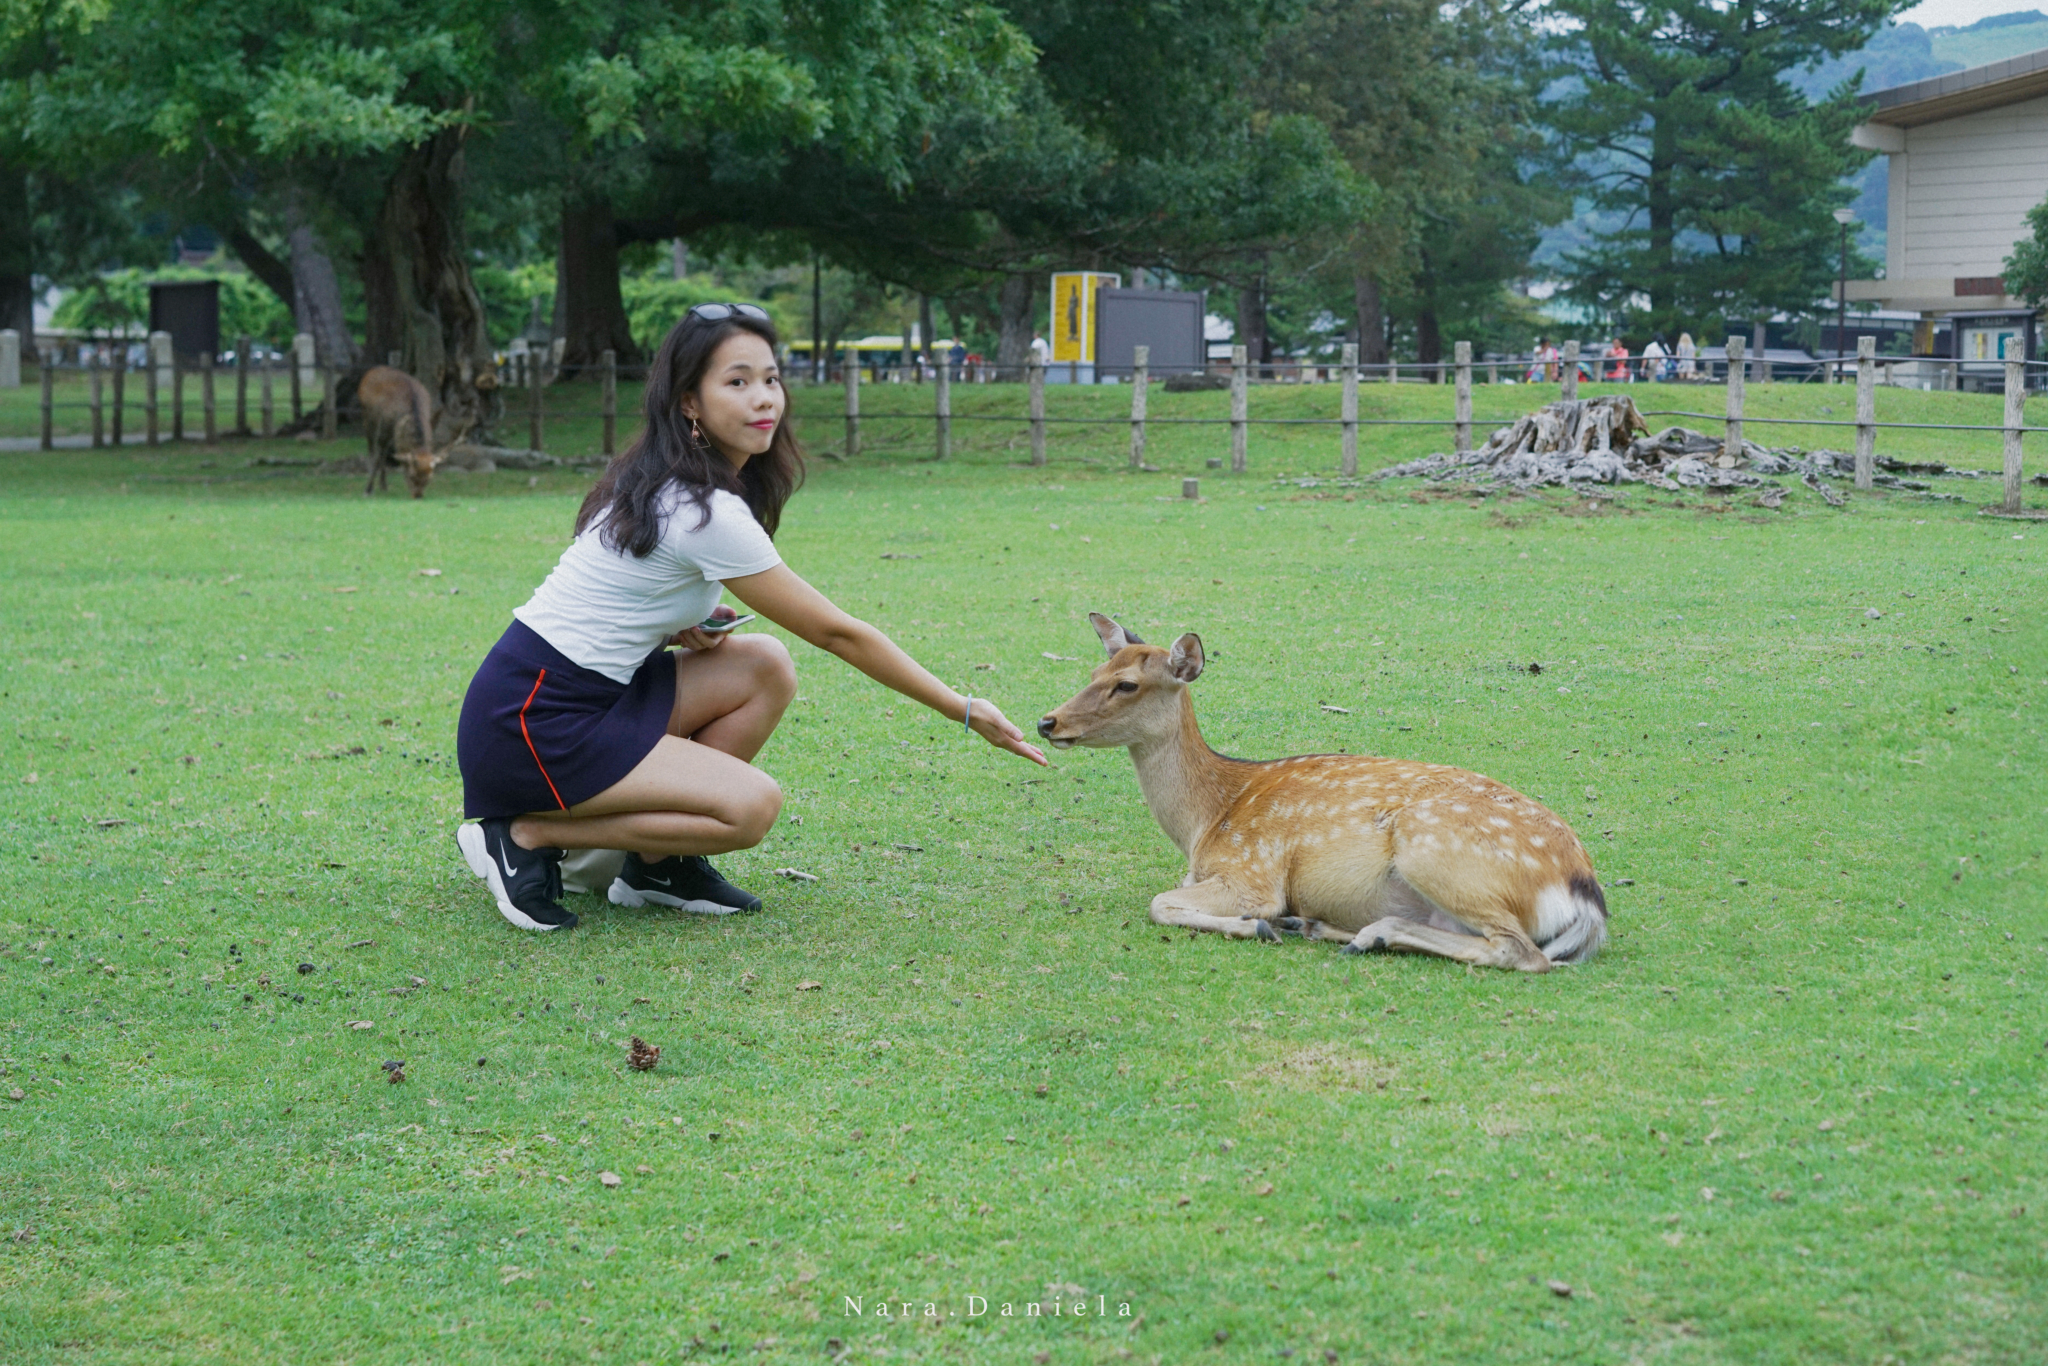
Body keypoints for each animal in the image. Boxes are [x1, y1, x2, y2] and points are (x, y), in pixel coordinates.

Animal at [364, 366, 452, 499]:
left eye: (429, 478)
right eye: (411, 475)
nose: (418, 496)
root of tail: (372, 370)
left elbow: (384, 454)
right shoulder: (384, 427)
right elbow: (378, 457)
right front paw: (368, 489)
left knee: (384, 452)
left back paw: (384, 485)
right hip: (367, 418)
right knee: (372, 448)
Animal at [1048, 614, 1605, 966]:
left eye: (1127, 684)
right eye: (1095, 671)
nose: (1046, 722)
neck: (1204, 822)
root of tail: (1587, 897)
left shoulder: (1252, 872)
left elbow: (1160, 903)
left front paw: (1259, 925)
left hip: (1433, 848)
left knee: (1521, 952)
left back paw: (1353, 934)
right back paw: (1327, 929)